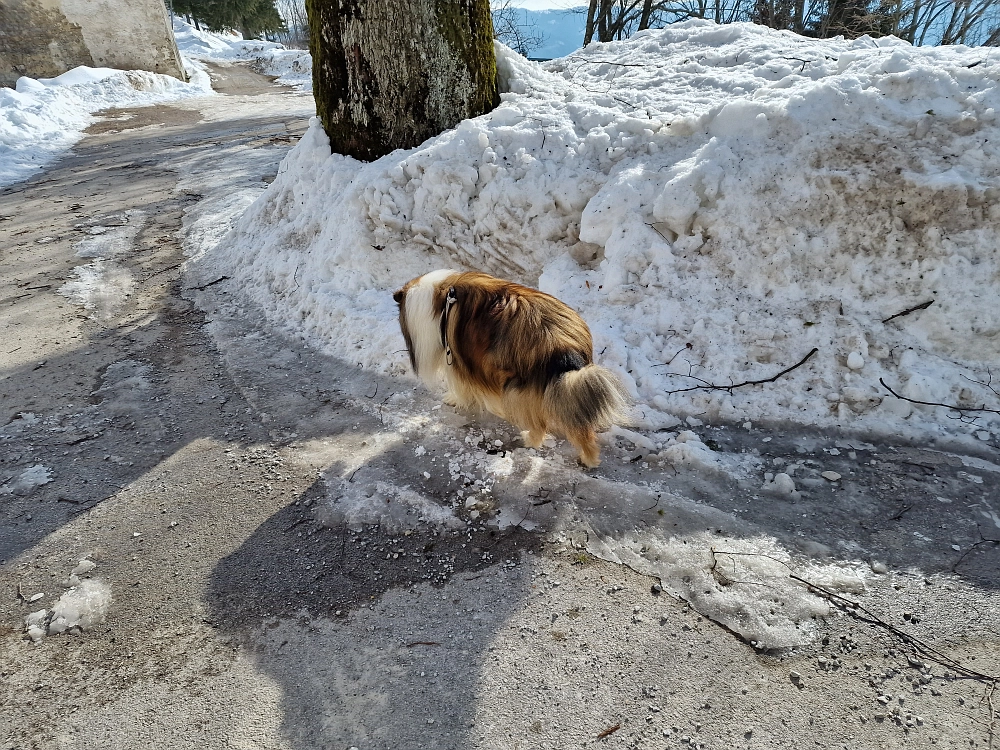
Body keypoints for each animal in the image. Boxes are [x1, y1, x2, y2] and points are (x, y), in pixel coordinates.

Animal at [394, 270, 628, 468]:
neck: (442, 300)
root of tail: (564, 345)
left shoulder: (458, 359)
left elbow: (462, 387)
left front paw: (454, 399)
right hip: (566, 384)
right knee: (580, 426)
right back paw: (590, 459)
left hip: (519, 389)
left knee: (540, 424)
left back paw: (531, 440)